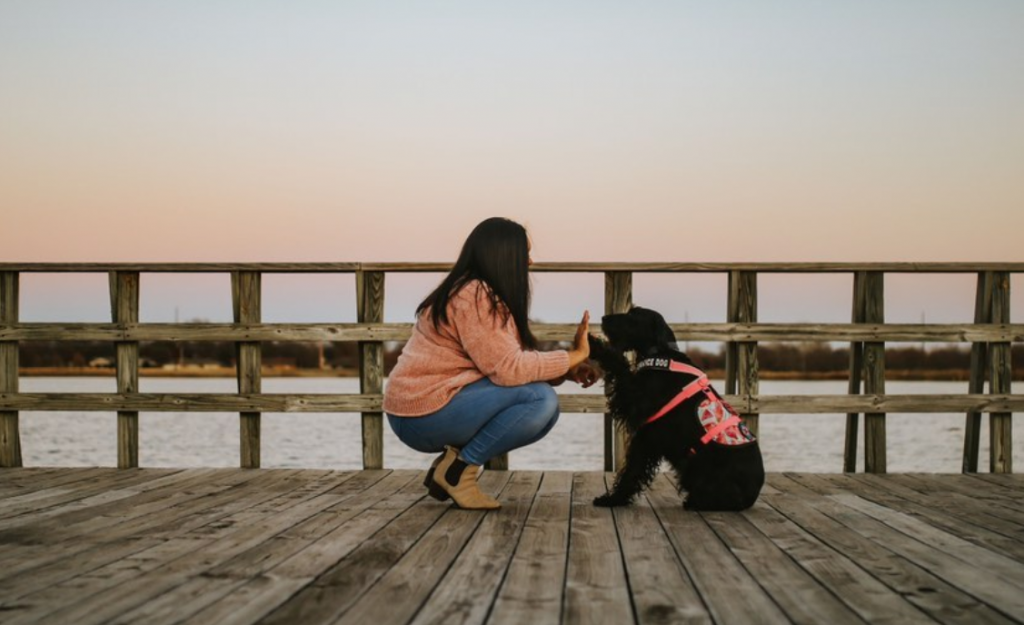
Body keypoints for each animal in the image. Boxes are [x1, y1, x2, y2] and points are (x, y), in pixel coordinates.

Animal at [589, 303, 765, 508]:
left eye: (633, 315)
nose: (603, 319)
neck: (659, 353)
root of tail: (754, 494)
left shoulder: (637, 412)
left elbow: (631, 471)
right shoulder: (646, 433)